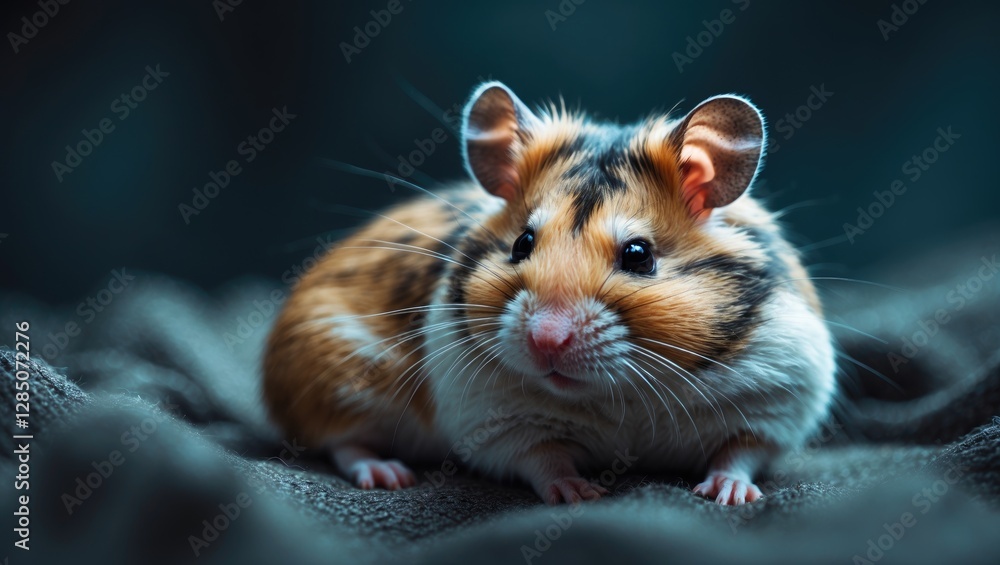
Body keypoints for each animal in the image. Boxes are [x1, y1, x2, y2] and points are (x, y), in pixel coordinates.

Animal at [263, 81, 836, 505]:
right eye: (522, 243)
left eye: (639, 255)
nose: (546, 341)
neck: (624, 394)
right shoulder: (495, 423)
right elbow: (542, 459)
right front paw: (579, 494)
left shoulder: (777, 402)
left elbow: (741, 453)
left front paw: (729, 496)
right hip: (331, 370)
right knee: (342, 441)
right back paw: (388, 474)